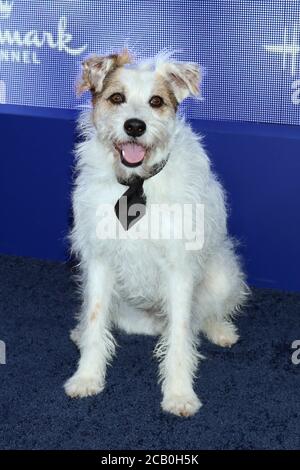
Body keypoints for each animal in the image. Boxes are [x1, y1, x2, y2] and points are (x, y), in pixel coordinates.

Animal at [63, 50, 248, 418]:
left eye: (156, 101)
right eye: (116, 98)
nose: (135, 125)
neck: (137, 184)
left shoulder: (178, 269)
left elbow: (179, 336)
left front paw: (178, 394)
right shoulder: (100, 261)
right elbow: (96, 321)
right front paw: (87, 377)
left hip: (222, 276)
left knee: (203, 316)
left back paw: (221, 329)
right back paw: (80, 332)